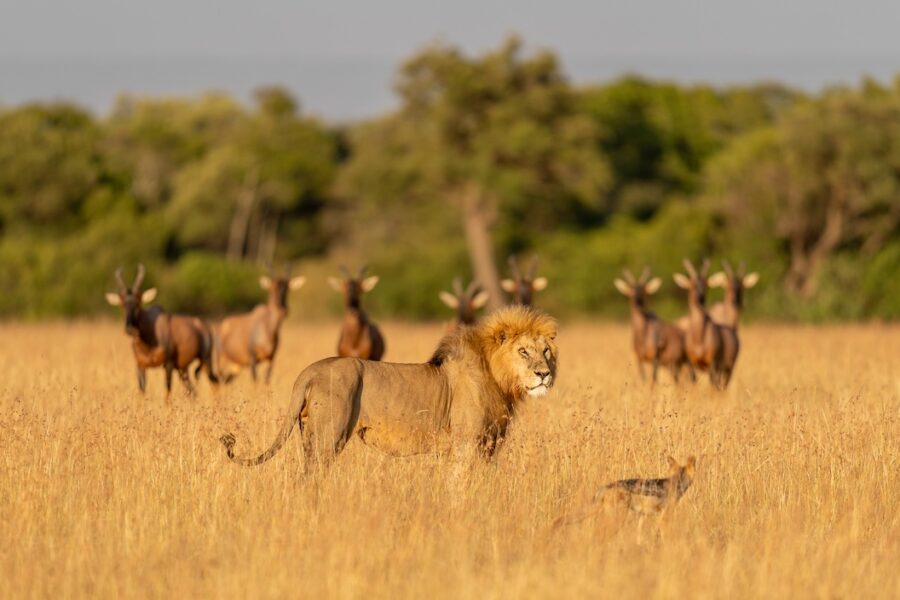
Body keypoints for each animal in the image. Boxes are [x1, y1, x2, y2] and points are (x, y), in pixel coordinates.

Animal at [221, 305, 558, 467]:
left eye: (546, 352)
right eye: (523, 351)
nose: (544, 374)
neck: (499, 378)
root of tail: (309, 370)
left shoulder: (486, 447)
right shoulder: (466, 445)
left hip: (308, 434)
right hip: (330, 436)